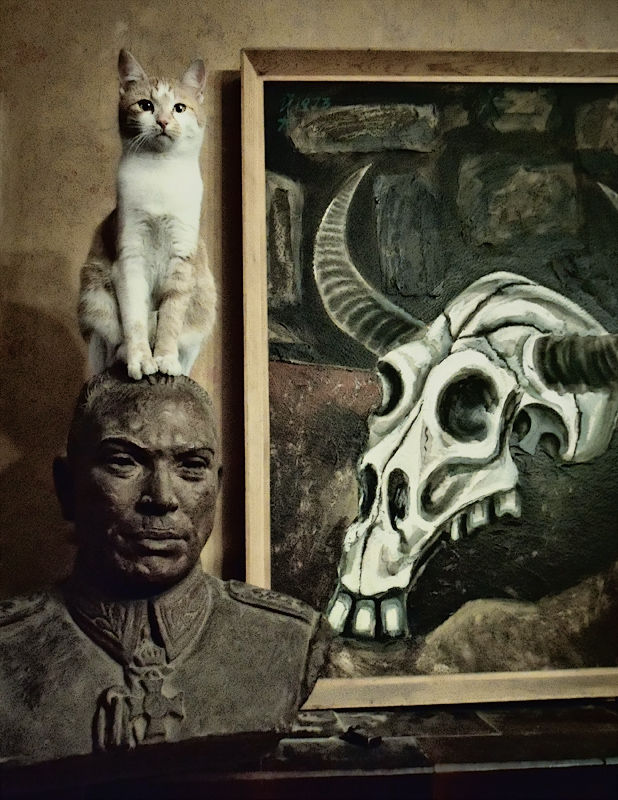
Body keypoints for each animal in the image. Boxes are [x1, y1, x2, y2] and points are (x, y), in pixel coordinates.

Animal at [78, 49, 216, 379]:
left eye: (179, 107)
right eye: (146, 105)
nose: (164, 121)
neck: (160, 172)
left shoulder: (182, 260)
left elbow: (170, 319)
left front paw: (164, 359)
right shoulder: (130, 259)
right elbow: (134, 320)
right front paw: (141, 360)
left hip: (204, 304)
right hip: (95, 298)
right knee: (109, 345)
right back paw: (123, 355)